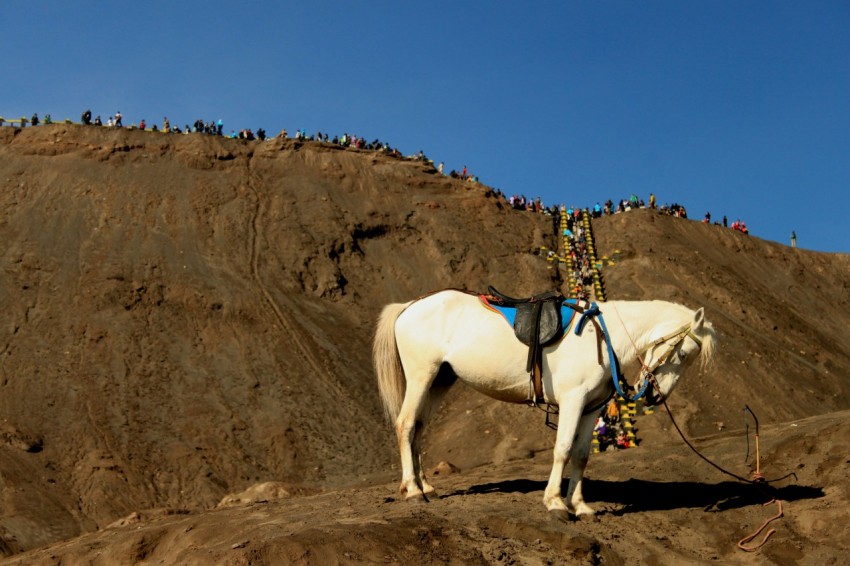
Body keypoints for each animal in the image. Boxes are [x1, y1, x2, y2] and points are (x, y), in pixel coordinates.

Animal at [374, 292, 712, 520]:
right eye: (684, 355)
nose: (656, 396)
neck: (603, 336)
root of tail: (410, 306)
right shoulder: (573, 400)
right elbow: (562, 449)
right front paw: (555, 503)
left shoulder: (591, 407)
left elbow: (581, 455)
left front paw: (581, 506)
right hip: (421, 376)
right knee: (406, 424)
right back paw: (413, 491)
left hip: (440, 381)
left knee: (418, 429)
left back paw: (425, 487)